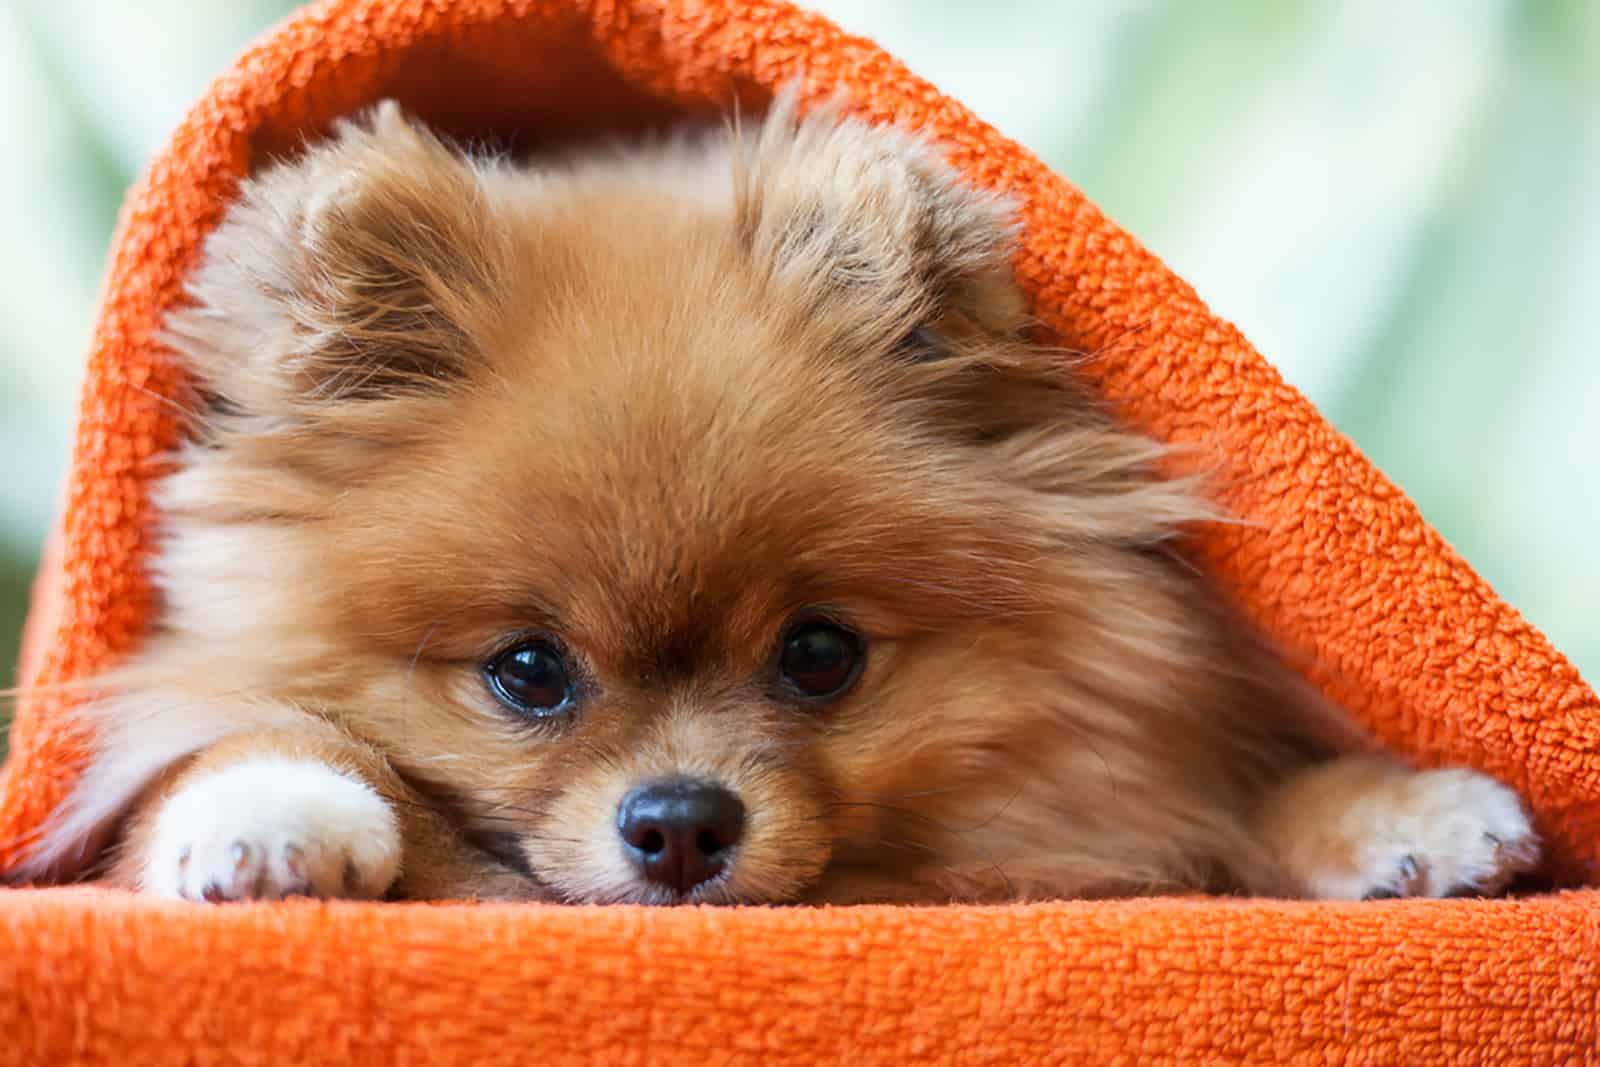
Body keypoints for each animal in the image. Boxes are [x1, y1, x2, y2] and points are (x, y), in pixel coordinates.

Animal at [12, 95, 1536, 908]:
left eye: (820, 654)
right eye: (527, 671)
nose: (682, 822)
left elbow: (1230, 793)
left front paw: (1392, 809)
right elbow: (216, 734)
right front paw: (270, 806)